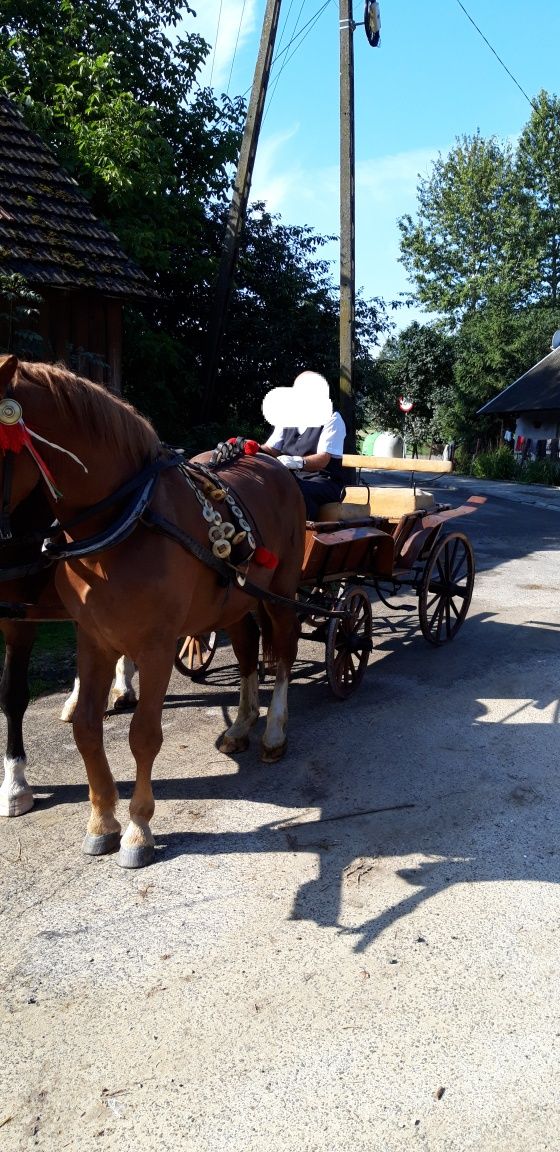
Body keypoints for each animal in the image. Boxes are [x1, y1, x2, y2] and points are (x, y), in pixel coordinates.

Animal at [0, 354, 304, 866]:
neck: (126, 522)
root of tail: (268, 457)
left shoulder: (157, 645)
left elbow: (144, 734)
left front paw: (138, 829)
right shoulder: (93, 637)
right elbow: (86, 727)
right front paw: (101, 821)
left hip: (281, 591)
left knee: (281, 654)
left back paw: (275, 733)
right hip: (236, 600)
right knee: (247, 653)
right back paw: (242, 724)